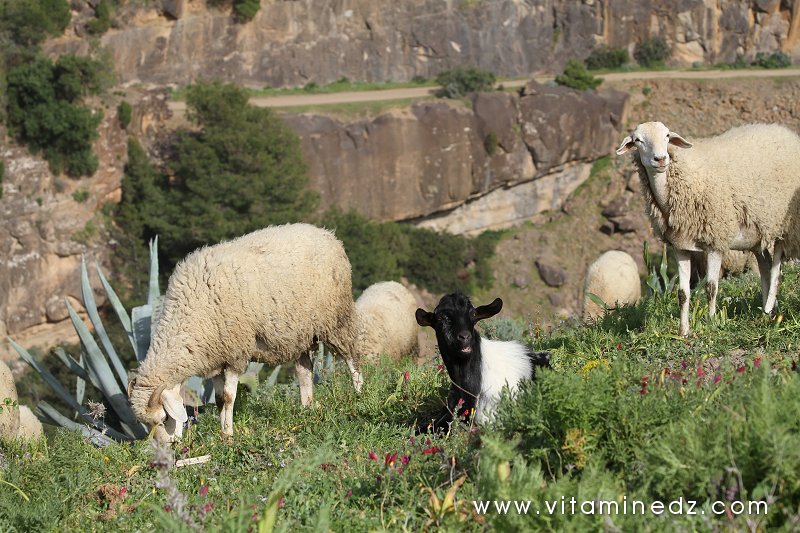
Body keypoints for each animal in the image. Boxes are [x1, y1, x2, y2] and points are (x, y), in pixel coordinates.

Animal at [128, 223, 362, 442]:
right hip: (300, 333)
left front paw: (229, 434)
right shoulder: (216, 358)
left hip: (337, 318)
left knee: (352, 357)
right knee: (304, 371)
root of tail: (327, 234)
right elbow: (219, 400)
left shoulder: (235, 353)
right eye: (147, 425)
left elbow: (229, 397)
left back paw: (359, 394)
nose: (167, 449)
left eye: (164, 418)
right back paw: (307, 408)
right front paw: (223, 433)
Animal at [617, 122, 800, 336]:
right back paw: (765, 313)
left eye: (667, 136)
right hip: (757, 236)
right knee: (765, 268)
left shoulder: (715, 241)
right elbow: (682, 293)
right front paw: (683, 332)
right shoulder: (680, 246)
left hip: (784, 226)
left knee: (776, 272)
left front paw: (712, 324)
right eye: (638, 140)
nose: (661, 159)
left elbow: (711, 288)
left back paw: (770, 307)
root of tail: (784, 131)